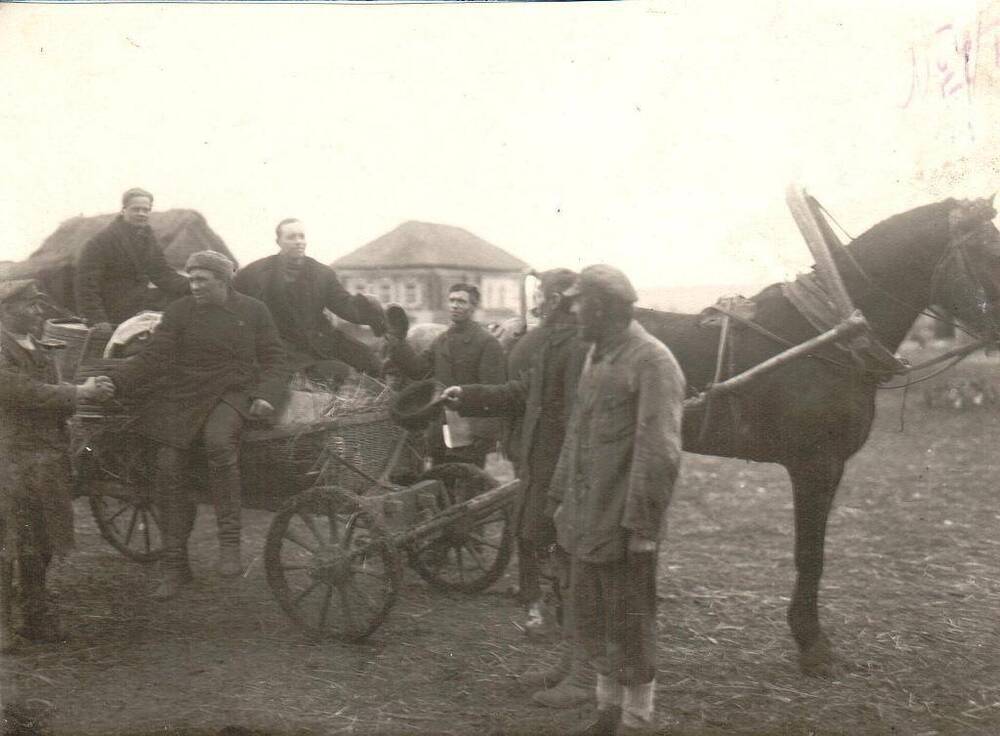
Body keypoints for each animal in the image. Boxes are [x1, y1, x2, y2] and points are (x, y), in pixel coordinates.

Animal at [632, 194, 1000, 672]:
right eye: (986, 250)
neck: (826, 335)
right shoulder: (815, 465)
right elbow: (811, 553)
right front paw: (811, 642)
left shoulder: (828, 466)